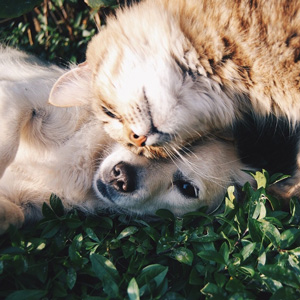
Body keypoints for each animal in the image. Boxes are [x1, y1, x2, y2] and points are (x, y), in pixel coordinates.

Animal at [0, 45, 253, 233]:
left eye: (186, 188)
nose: (121, 177)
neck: (86, 163)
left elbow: (16, 215)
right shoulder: (19, 95)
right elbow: (7, 146)